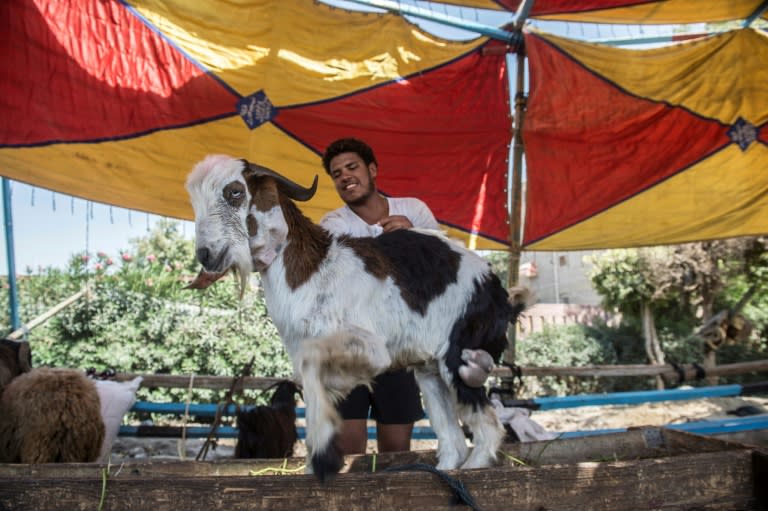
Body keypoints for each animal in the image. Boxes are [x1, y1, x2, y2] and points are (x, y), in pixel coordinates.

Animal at [186, 154, 520, 482]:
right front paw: (315, 459)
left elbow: (313, 364)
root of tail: (499, 291)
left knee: (488, 424)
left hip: (459, 353)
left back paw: (476, 467)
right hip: (429, 369)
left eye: (235, 192)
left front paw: (323, 457)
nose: (206, 254)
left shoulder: (371, 348)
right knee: (452, 439)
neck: (316, 272)